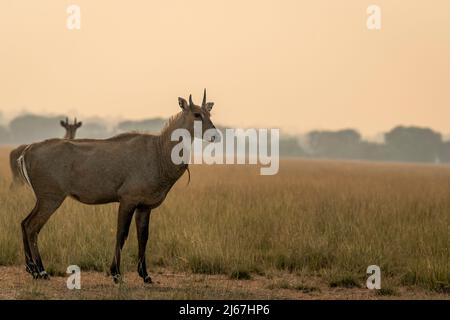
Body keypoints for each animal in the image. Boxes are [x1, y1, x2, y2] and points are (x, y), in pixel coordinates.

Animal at [18, 90, 219, 282]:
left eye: (209, 113)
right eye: (196, 114)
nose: (215, 135)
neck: (158, 152)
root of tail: (27, 151)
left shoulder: (144, 207)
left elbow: (143, 237)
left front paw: (145, 275)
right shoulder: (127, 201)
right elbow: (121, 234)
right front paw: (116, 274)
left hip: (44, 199)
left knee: (25, 223)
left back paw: (32, 269)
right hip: (50, 198)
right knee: (32, 227)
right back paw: (41, 271)